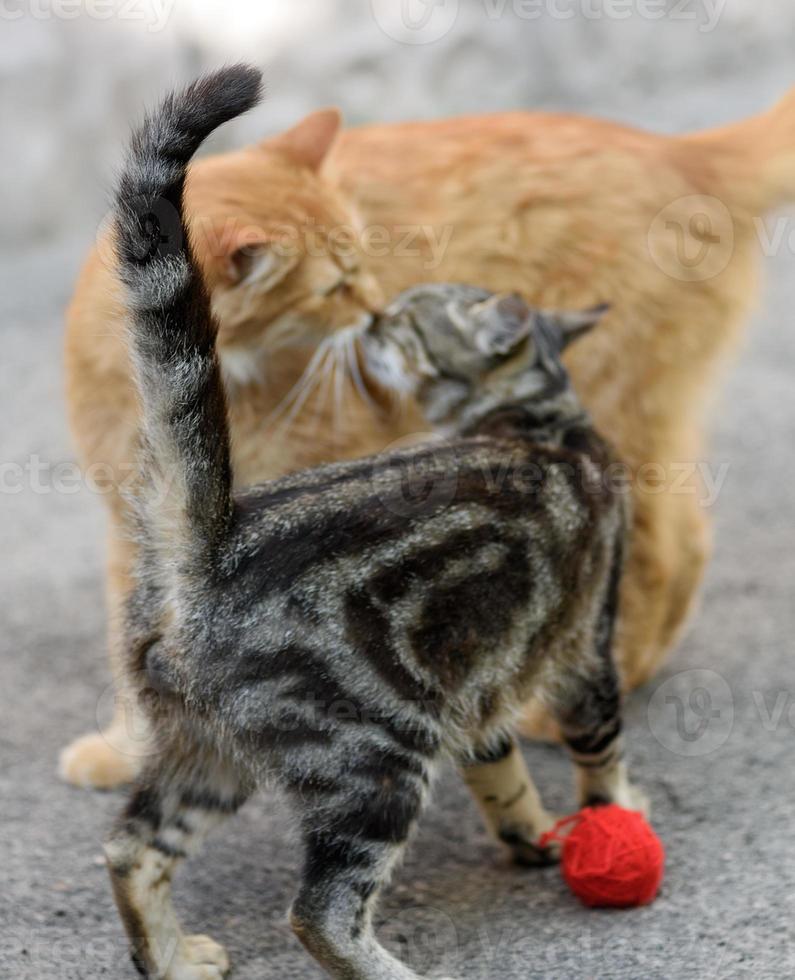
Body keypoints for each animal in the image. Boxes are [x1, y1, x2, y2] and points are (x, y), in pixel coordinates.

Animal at [60, 92, 795, 788]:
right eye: (333, 286)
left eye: (359, 255)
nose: (377, 309)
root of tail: (683, 153)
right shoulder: (147, 533)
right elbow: (133, 650)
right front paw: (131, 751)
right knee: (687, 538)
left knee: (651, 559)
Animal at [105, 69, 648, 980]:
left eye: (403, 321)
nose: (372, 318)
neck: (538, 417)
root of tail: (208, 550)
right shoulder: (583, 653)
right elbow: (599, 759)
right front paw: (615, 816)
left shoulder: (473, 683)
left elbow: (504, 775)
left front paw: (532, 835)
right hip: (374, 759)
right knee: (317, 914)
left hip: (210, 753)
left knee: (130, 850)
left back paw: (174, 959)